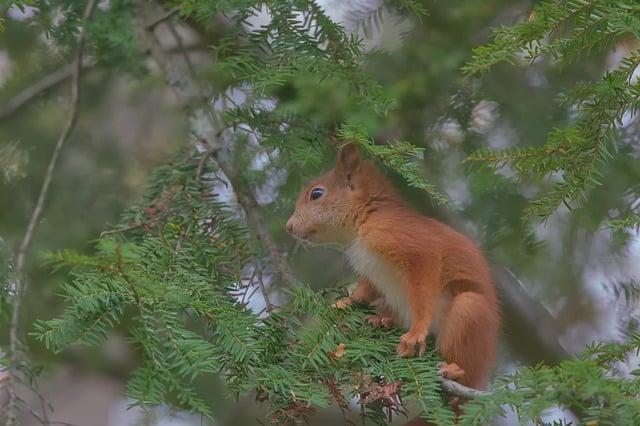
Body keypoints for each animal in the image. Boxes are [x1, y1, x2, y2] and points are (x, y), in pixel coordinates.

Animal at [284, 145, 500, 392]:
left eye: (316, 194)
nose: (288, 227)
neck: (364, 221)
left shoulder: (405, 241)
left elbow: (424, 287)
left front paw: (416, 333)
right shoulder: (371, 271)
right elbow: (365, 291)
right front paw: (344, 302)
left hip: (470, 314)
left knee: (466, 366)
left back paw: (454, 370)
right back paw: (382, 320)